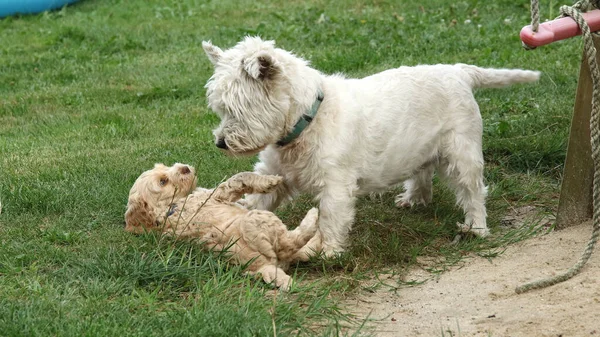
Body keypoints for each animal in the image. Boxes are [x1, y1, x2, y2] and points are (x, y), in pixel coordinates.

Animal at [125, 163, 322, 288]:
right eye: (163, 181)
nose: (185, 168)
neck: (169, 207)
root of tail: (263, 267)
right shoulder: (216, 196)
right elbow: (235, 179)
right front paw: (270, 181)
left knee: (300, 251)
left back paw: (318, 239)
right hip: (255, 222)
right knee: (288, 244)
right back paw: (313, 218)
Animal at [202, 36, 540, 253]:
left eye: (237, 108)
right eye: (220, 108)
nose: (220, 143)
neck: (307, 121)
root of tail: (459, 71)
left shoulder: (336, 184)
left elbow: (331, 218)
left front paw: (327, 251)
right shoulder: (277, 172)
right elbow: (259, 197)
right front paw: (239, 214)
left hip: (461, 150)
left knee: (473, 190)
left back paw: (476, 228)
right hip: (420, 146)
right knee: (423, 172)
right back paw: (412, 199)